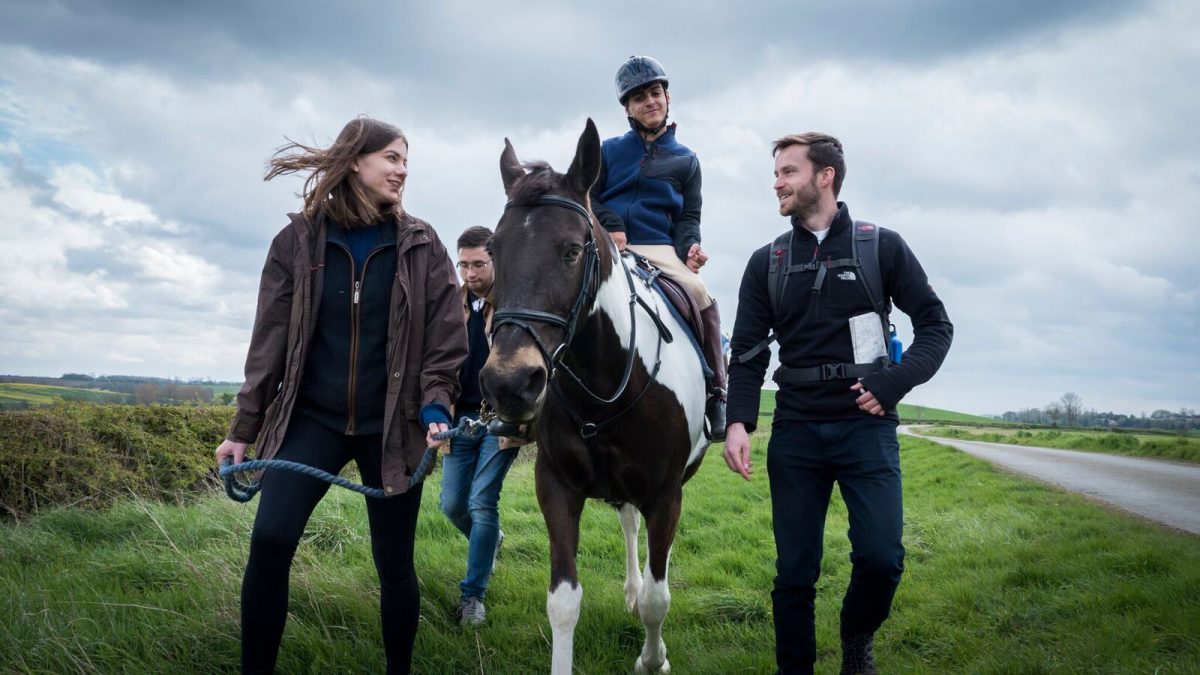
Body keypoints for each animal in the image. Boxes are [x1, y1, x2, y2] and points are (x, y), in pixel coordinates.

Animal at [480, 120, 710, 672]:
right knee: (629, 524)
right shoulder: (556, 486)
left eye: (571, 250)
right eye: (494, 251)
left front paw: (653, 660)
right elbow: (563, 602)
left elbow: (658, 598)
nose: (509, 383)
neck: (604, 388)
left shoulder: (665, 493)